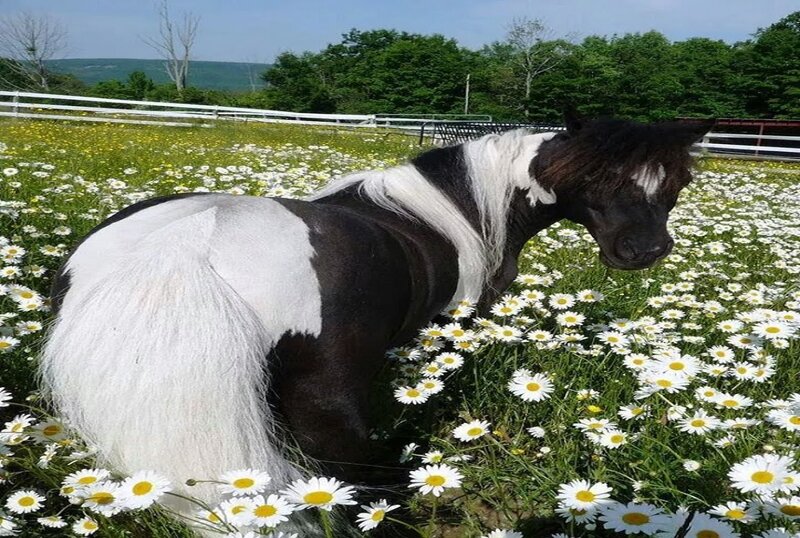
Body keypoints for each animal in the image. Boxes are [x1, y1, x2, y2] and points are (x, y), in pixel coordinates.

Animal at [40, 115, 713, 528]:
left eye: (677, 181)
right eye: (594, 176)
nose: (644, 250)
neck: (460, 209)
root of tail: (189, 243)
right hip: (329, 408)